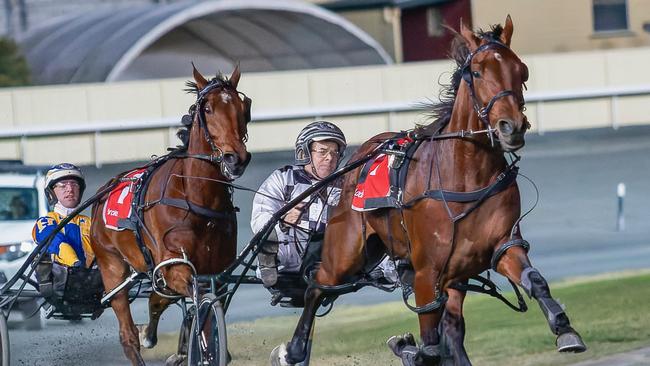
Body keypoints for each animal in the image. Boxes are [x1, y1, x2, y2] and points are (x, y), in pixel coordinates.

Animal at [86, 66, 248, 366]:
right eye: (207, 108)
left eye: (243, 107)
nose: (236, 158)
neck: (196, 199)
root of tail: (107, 187)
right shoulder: (174, 265)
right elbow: (196, 302)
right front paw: (203, 349)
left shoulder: (215, 272)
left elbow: (181, 302)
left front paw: (186, 348)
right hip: (110, 263)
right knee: (126, 331)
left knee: (158, 298)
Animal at [270, 15, 584, 364]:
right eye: (477, 72)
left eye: (522, 70)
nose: (511, 127)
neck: (464, 177)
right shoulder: (426, 272)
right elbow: (430, 341)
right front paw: (409, 348)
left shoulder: (499, 245)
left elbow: (534, 280)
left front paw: (564, 328)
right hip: (347, 249)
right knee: (318, 286)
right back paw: (294, 349)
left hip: (451, 273)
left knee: (453, 327)